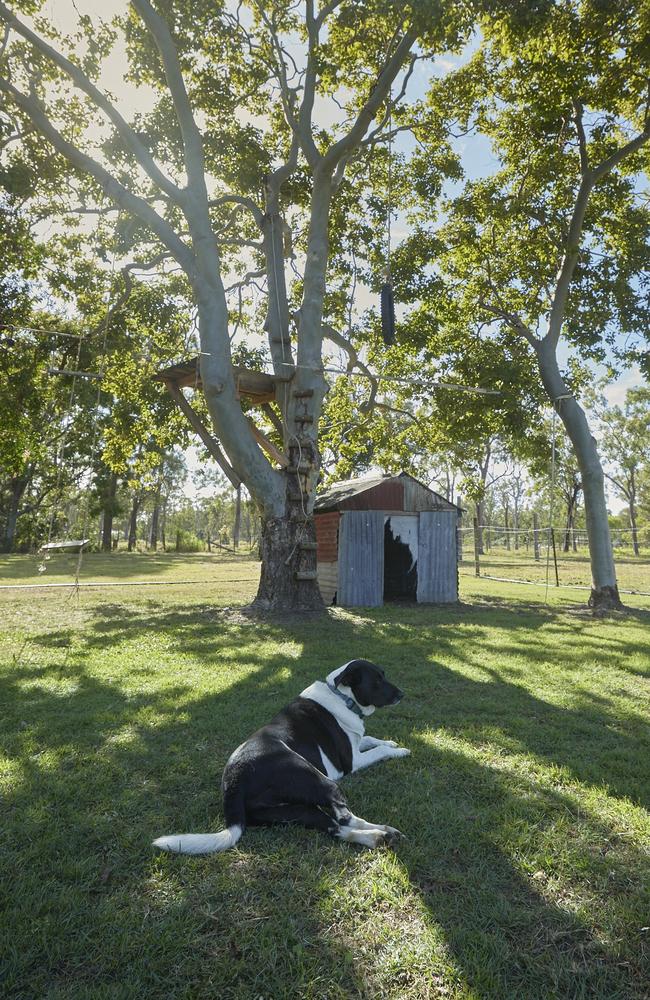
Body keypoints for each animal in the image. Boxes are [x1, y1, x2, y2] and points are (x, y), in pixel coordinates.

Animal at [153, 660, 408, 856]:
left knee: (335, 826)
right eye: (377, 681)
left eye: (383, 675)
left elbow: (372, 739)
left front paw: (391, 742)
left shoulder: (357, 744)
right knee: (343, 818)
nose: (402, 694)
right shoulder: (352, 761)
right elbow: (377, 751)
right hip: (320, 780)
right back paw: (380, 834)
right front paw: (401, 751)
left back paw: (382, 835)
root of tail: (234, 781)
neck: (342, 697)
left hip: (295, 812)